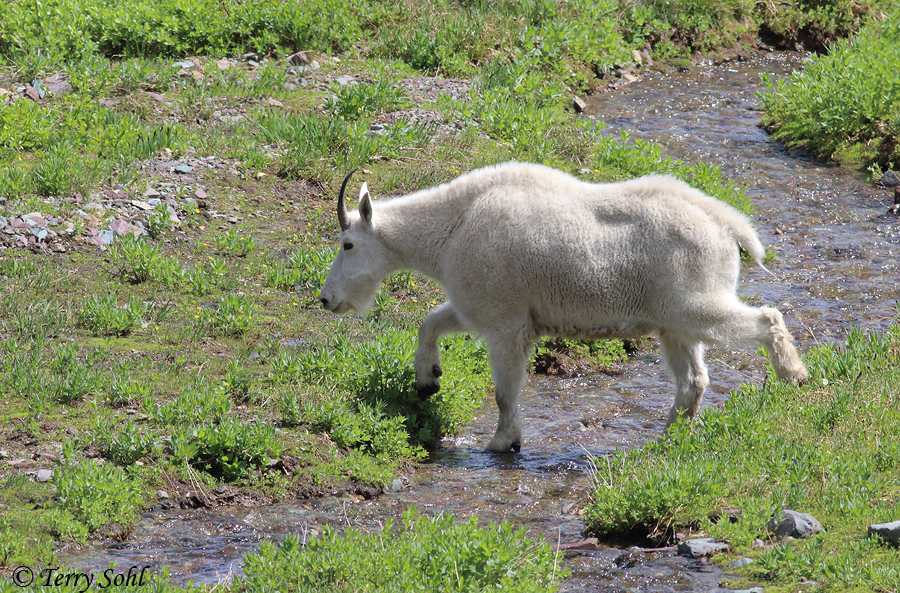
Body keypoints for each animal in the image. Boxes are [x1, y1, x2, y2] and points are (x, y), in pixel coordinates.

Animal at [319, 162, 808, 452]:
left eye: (347, 244)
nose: (327, 299)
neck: (451, 228)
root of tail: (727, 225)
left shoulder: (504, 322)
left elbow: (504, 392)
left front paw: (503, 442)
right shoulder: (479, 307)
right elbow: (431, 322)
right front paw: (427, 380)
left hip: (694, 302)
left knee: (767, 318)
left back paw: (794, 374)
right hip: (673, 324)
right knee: (693, 379)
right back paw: (668, 435)